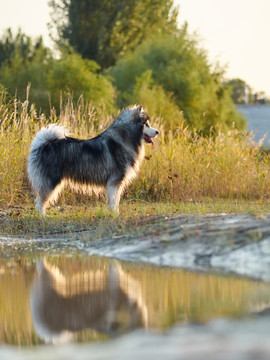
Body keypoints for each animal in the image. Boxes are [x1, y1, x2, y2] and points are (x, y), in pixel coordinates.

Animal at [27, 105, 158, 215]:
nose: (157, 131)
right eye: (146, 124)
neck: (124, 138)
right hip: (51, 182)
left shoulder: (114, 183)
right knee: (39, 204)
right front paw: (115, 215)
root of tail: (44, 144)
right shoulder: (115, 181)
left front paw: (113, 213)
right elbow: (114, 201)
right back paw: (43, 218)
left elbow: (114, 201)